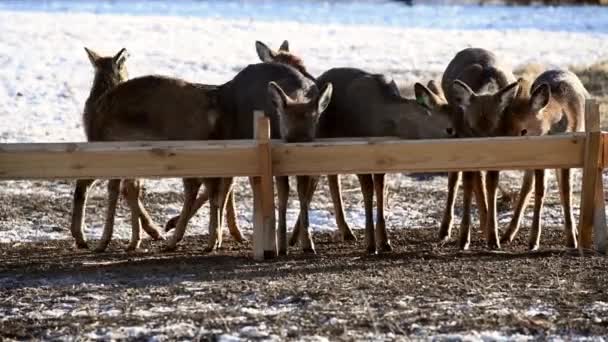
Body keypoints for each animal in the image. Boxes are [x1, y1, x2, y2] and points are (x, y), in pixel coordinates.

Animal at [290, 67, 456, 254]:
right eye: (449, 129)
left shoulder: (380, 160)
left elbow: (380, 190)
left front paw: (384, 241)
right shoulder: (361, 155)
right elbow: (368, 192)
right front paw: (371, 244)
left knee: (331, 178)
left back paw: (343, 232)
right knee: (313, 180)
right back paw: (301, 239)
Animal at [436, 46, 524, 250]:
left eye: (495, 126)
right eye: (472, 126)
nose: (482, 151)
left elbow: (491, 184)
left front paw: (493, 237)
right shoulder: (466, 137)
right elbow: (468, 182)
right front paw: (464, 238)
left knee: (479, 180)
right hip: (457, 134)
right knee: (456, 178)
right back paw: (445, 230)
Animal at [494, 70, 588, 251]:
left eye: (523, 131)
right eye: (502, 127)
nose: (506, 152)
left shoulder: (566, 158)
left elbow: (566, 192)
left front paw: (572, 240)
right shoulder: (539, 162)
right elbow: (539, 192)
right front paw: (533, 241)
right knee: (526, 189)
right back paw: (507, 235)